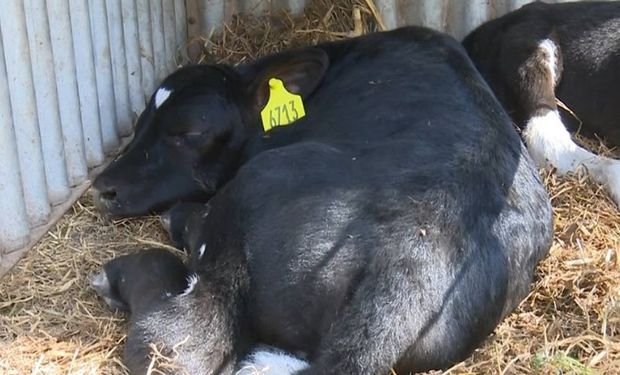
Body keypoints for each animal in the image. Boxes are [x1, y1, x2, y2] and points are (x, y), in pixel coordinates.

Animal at [91, 27, 552, 375]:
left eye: (188, 132)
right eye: (140, 121)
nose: (103, 186)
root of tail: (412, 257)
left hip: (247, 210)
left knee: (180, 344)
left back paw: (119, 276)